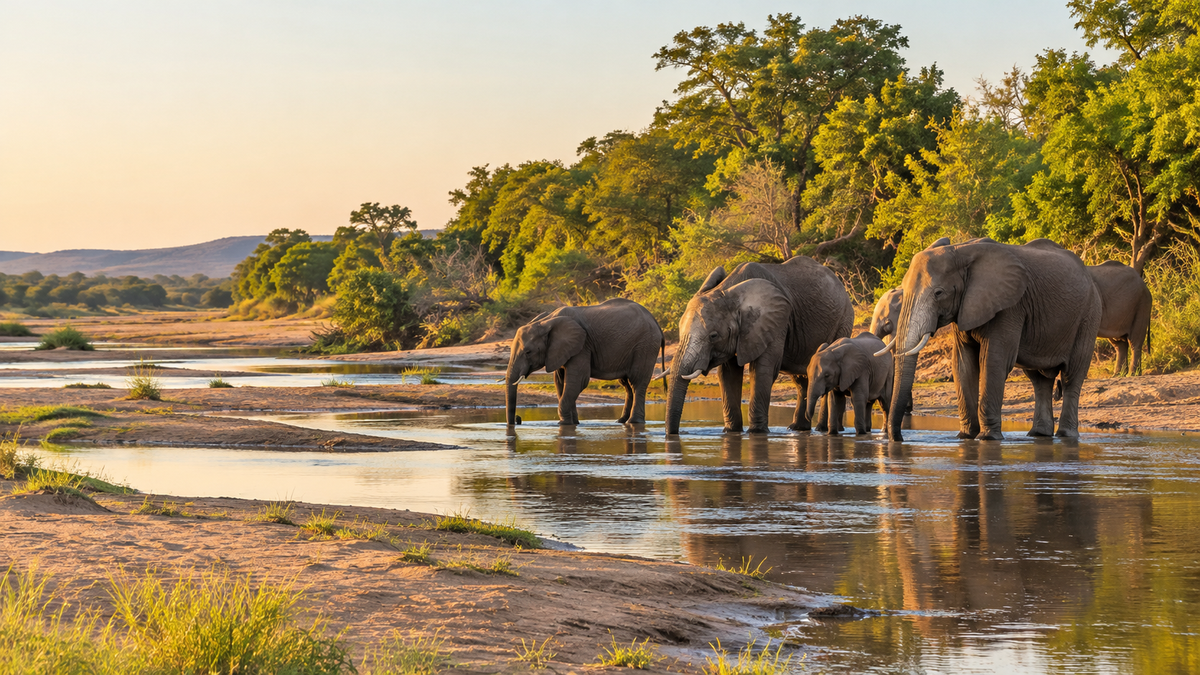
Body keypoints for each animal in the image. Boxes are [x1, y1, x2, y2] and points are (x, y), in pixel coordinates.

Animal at [505, 298, 664, 427]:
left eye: (528, 352)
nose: (518, 420)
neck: (546, 322)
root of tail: (656, 322)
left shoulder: (582, 347)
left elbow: (578, 381)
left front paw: (563, 424)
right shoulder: (560, 350)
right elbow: (560, 382)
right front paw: (573, 422)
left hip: (646, 345)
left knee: (637, 381)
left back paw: (634, 422)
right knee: (626, 384)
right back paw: (621, 421)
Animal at [665, 256, 854, 435]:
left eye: (713, 336)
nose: (678, 433)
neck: (729, 293)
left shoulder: (776, 323)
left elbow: (762, 370)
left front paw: (757, 432)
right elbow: (727, 374)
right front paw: (732, 431)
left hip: (844, 321)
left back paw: (822, 429)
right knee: (802, 380)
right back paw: (797, 429)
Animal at [882, 237, 1102, 442]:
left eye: (938, 293)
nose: (899, 438)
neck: (961, 251)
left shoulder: (1009, 307)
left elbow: (993, 360)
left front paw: (988, 438)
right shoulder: (965, 307)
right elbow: (963, 363)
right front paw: (965, 436)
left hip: (1088, 316)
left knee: (1071, 376)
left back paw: (1066, 435)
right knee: (1039, 380)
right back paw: (1039, 434)